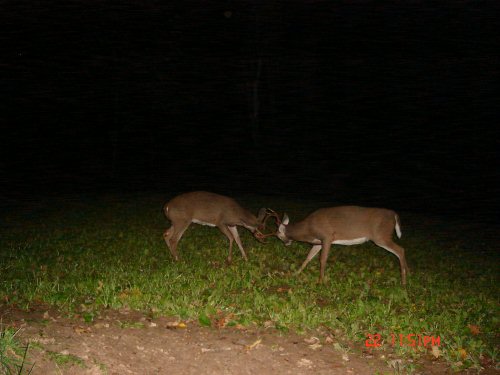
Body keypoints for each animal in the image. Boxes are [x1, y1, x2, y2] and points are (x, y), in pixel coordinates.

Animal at [270, 206, 410, 284]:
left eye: (278, 235)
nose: (287, 243)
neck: (308, 229)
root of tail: (394, 214)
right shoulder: (319, 241)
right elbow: (308, 257)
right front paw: (296, 273)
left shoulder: (327, 236)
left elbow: (322, 259)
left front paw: (320, 281)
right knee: (401, 250)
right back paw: (408, 274)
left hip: (381, 236)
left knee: (401, 250)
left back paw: (403, 282)